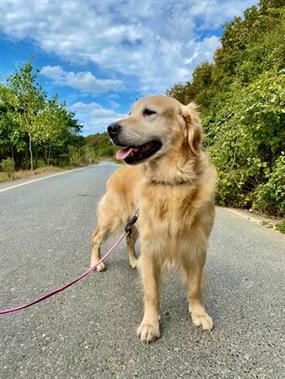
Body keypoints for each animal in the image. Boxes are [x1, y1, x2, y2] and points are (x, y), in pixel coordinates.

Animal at [90, 95, 216, 344]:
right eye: (129, 113)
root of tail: (115, 172)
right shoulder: (151, 247)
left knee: (128, 241)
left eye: (149, 112)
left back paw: (133, 261)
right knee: (96, 237)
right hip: (113, 218)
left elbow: (195, 287)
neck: (172, 182)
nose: (110, 128)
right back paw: (96, 262)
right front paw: (150, 324)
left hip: (135, 222)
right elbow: (151, 293)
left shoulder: (197, 246)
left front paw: (199, 313)